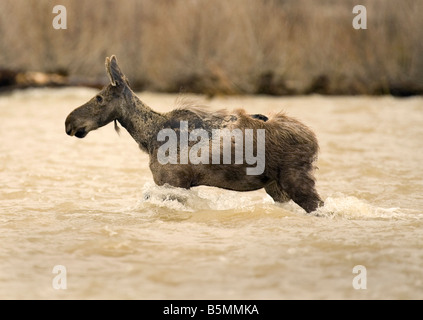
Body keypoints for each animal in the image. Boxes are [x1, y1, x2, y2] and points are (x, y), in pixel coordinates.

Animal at [66, 56, 324, 214]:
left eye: (99, 98)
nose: (69, 122)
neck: (148, 137)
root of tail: (314, 140)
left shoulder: (172, 181)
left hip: (295, 179)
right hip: (275, 186)